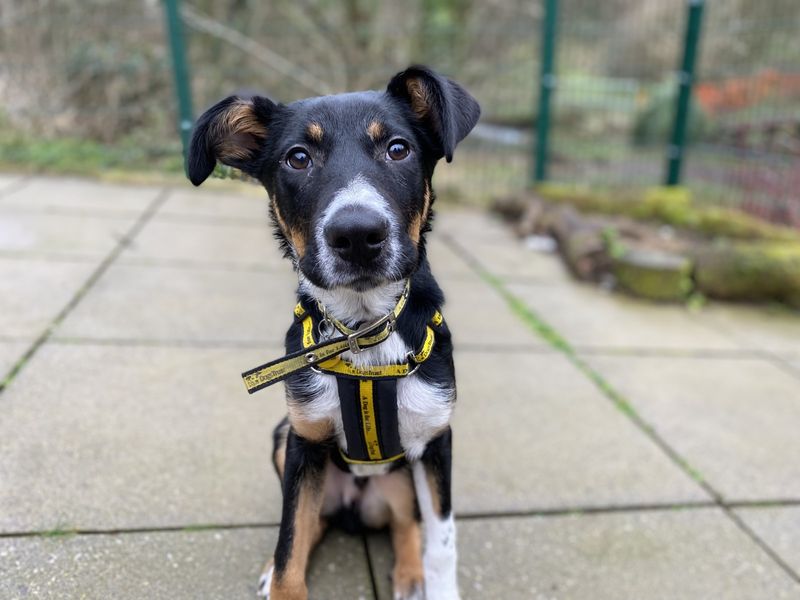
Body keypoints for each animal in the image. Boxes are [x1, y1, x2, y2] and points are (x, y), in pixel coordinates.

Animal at [188, 67, 478, 600]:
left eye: (399, 149)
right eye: (298, 158)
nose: (357, 235)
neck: (361, 332)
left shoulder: (436, 439)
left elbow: (442, 542)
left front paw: (432, 578)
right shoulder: (303, 445)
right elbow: (290, 550)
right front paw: (279, 573)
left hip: (400, 479)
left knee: (406, 524)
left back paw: (410, 575)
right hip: (284, 439)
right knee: (310, 525)